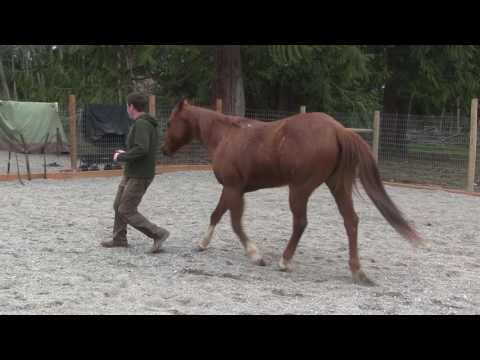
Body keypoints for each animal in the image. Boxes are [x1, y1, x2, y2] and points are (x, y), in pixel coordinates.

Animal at [162, 100, 424, 286]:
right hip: (338, 186)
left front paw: (253, 254)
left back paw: (285, 261)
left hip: (299, 189)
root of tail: (338, 129)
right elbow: (223, 217)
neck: (226, 135)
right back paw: (357, 271)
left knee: (301, 222)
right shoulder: (236, 190)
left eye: (169, 122)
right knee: (351, 221)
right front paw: (210, 244)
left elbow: (229, 220)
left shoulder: (232, 188)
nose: (163, 150)